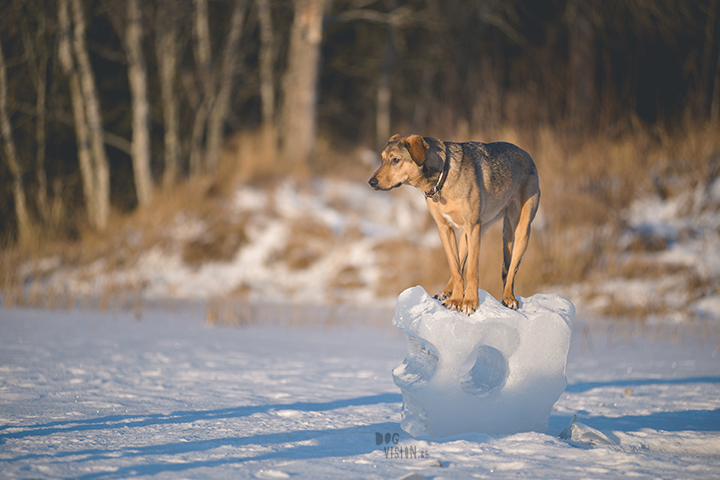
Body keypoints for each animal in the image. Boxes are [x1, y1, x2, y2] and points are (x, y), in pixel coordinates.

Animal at [372, 134, 540, 316]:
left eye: (395, 159)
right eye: (382, 159)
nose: (371, 182)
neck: (442, 177)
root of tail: (527, 154)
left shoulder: (473, 227)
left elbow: (472, 271)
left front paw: (470, 302)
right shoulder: (445, 229)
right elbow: (455, 267)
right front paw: (456, 300)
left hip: (521, 232)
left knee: (511, 270)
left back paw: (509, 298)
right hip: (469, 236)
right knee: (460, 265)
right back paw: (447, 292)